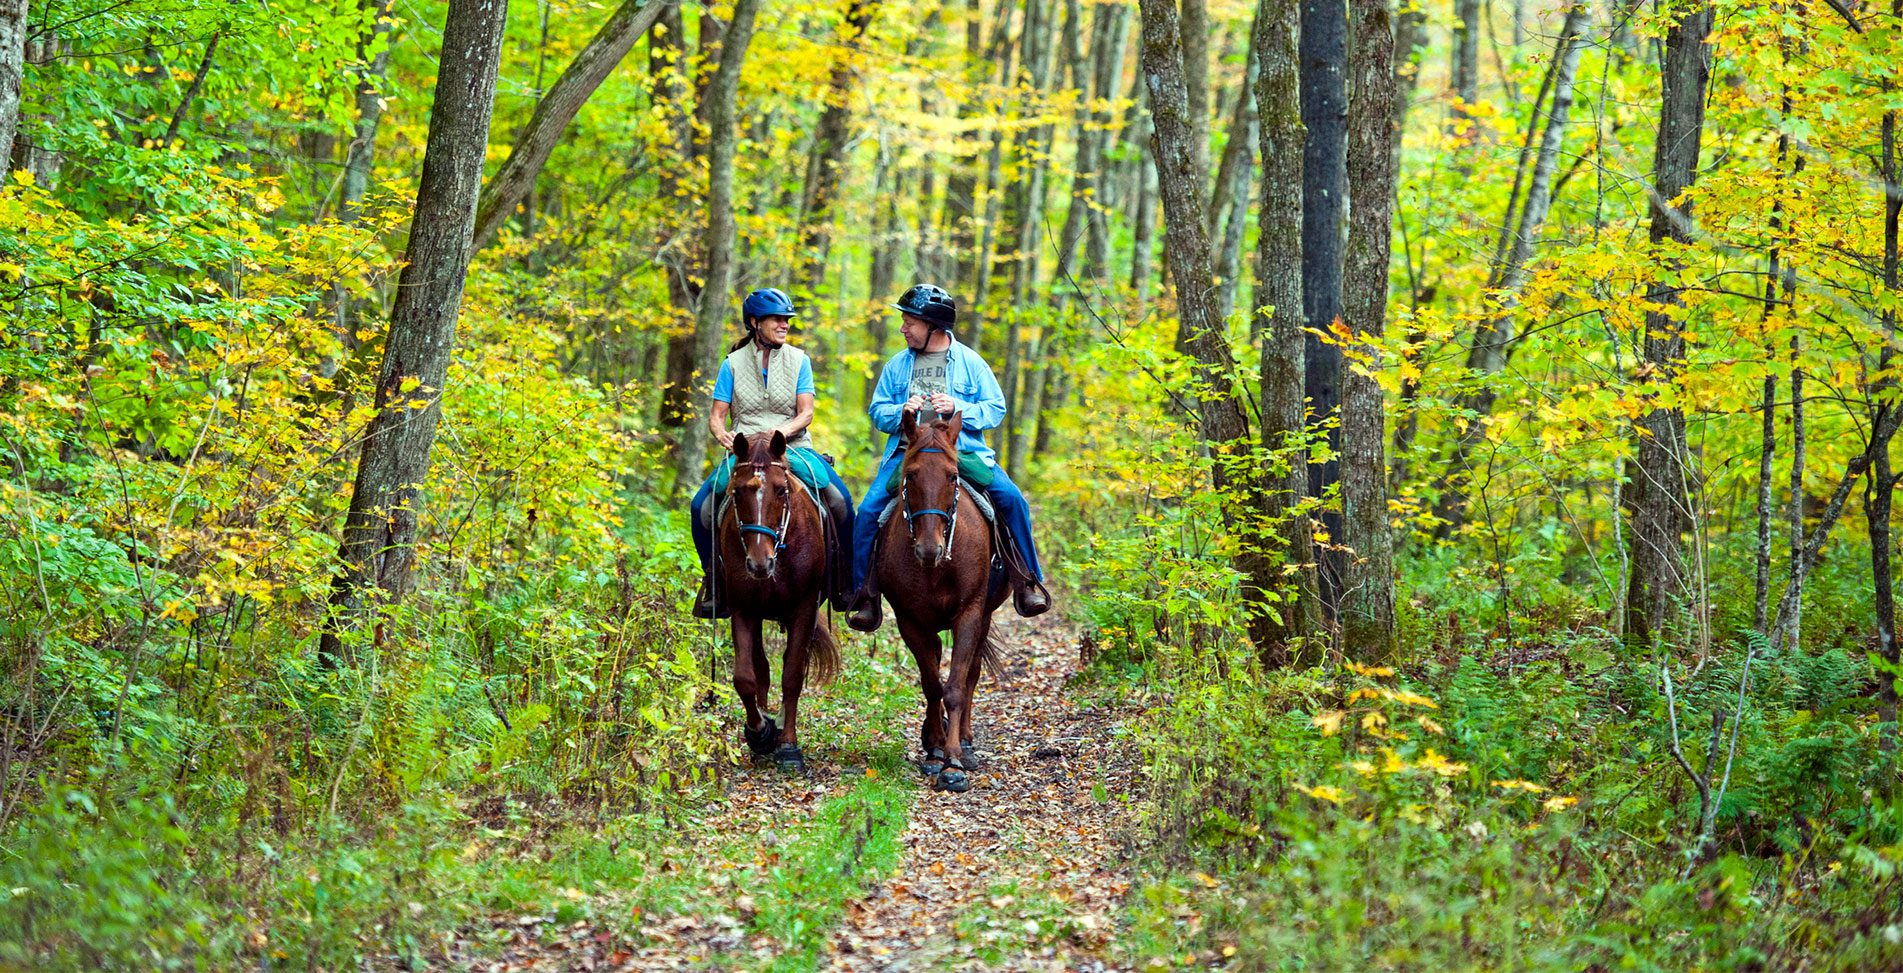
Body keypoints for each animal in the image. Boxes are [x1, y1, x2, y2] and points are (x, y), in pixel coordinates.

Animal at [711, 430, 837, 773]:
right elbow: (746, 678)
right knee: (762, 670)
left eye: (781, 489)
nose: (759, 564)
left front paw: (788, 746)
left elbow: (792, 676)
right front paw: (760, 734)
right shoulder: (743, 609)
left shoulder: (804, 609)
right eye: (737, 491)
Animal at [871, 411, 1004, 792]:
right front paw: (934, 751)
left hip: (985, 615)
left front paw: (954, 762)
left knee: (972, 674)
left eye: (952, 475)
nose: (928, 549)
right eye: (911, 474)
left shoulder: (970, 613)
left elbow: (956, 686)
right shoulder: (910, 620)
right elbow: (932, 684)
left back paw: (967, 745)